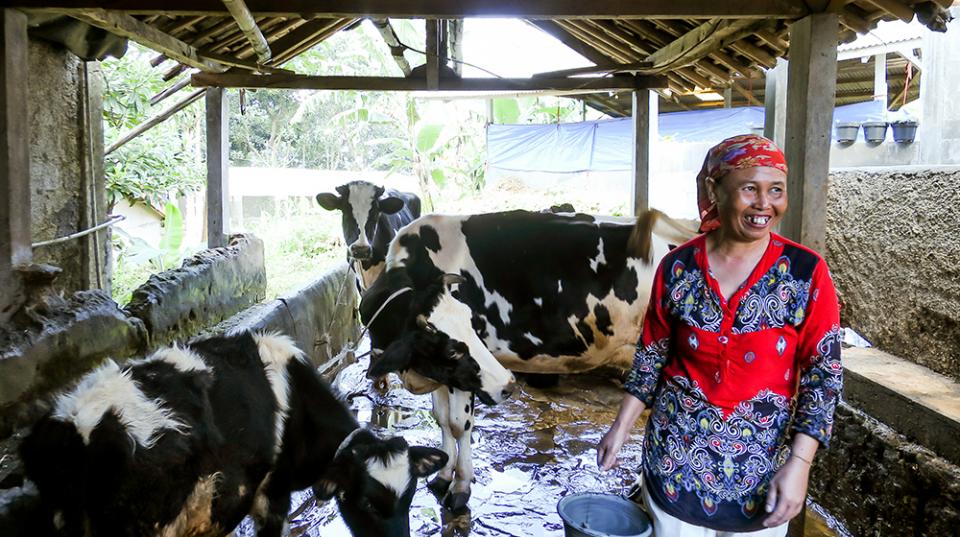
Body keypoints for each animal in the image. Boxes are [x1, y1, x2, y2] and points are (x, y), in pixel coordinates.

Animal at [360, 207, 696, 508]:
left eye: (472, 324)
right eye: (452, 348)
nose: (509, 385)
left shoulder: (465, 377)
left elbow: (458, 425)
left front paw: (460, 486)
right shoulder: (443, 372)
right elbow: (441, 419)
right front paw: (442, 476)